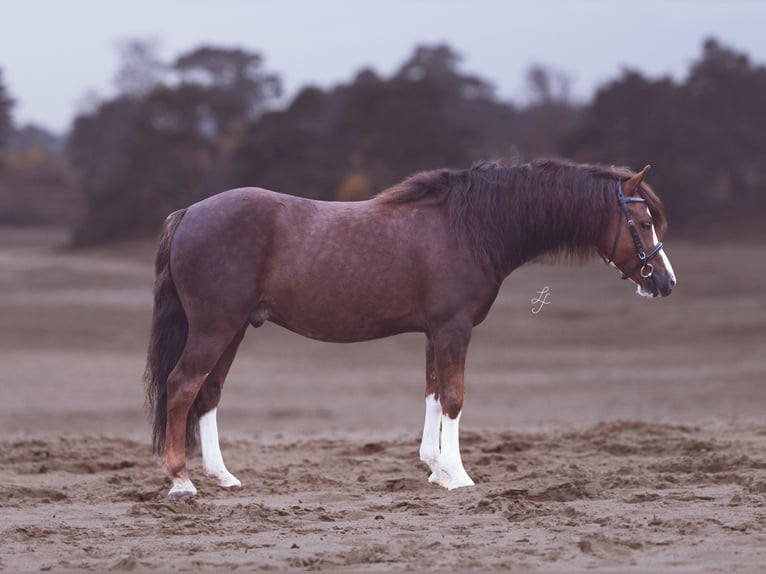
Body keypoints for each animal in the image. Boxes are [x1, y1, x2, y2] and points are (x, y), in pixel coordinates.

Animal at [144, 158, 680, 500]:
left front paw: (437, 469)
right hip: (215, 328)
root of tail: (187, 213)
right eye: (641, 221)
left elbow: (433, 394)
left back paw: (222, 477)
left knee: (208, 394)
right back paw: (181, 482)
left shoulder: (433, 332)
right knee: (181, 386)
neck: (470, 227)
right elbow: (455, 398)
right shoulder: (453, 329)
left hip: (233, 329)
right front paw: (459, 476)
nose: (666, 282)